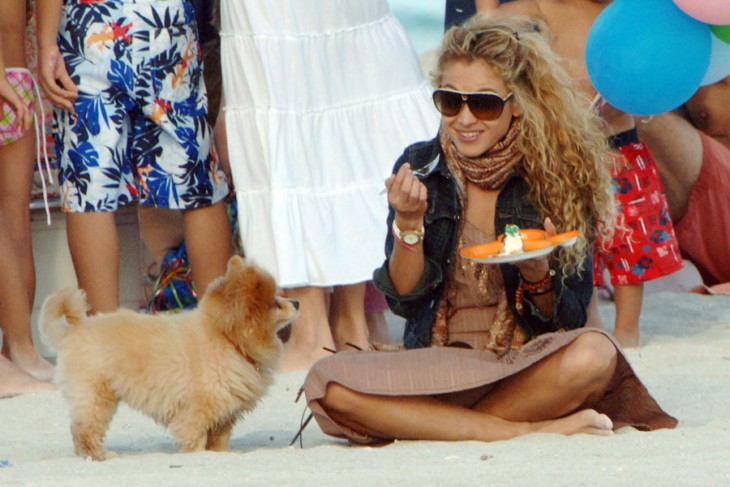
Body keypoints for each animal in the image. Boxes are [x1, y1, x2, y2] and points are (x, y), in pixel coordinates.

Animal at [38, 255, 296, 462]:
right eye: (276, 302)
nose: (296, 302)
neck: (226, 339)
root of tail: (74, 330)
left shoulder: (224, 412)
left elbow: (219, 439)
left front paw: (223, 454)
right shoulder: (196, 411)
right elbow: (195, 438)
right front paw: (197, 455)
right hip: (95, 396)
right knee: (84, 430)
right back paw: (100, 455)